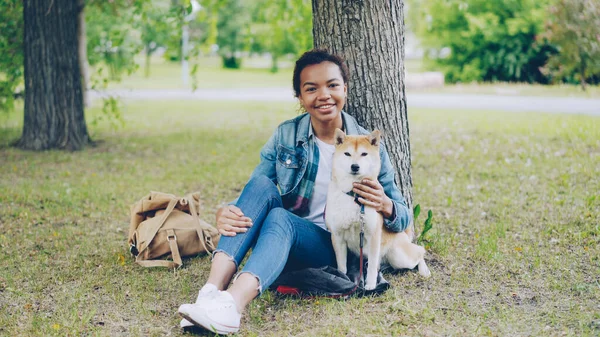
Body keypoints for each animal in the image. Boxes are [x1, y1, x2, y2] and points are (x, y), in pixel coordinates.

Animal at [326, 129, 428, 288]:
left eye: (364, 154)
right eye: (347, 154)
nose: (355, 166)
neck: (353, 195)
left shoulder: (373, 235)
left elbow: (373, 265)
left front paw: (371, 285)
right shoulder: (337, 236)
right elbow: (341, 266)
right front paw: (343, 279)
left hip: (399, 256)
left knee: (420, 251)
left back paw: (424, 269)